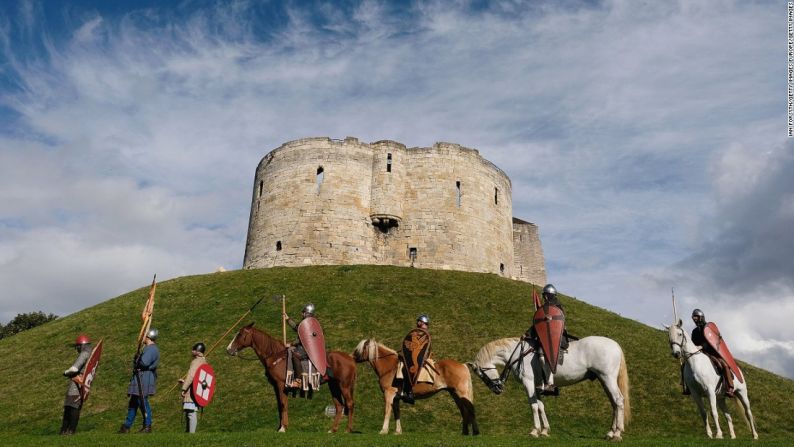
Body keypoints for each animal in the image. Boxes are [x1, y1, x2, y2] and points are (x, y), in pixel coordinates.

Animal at [226, 324, 356, 432]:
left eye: (240, 334)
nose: (228, 349)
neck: (275, 356)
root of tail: (350, 359)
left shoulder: (280, 385)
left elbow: (283, 404)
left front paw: (283, 428)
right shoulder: (276, 387)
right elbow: (281, 405)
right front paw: (282, 426)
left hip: (344, 385)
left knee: (349, 404)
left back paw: (348, 429)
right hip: (333, 385)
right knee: (339, 406)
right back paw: (332, 430)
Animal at [468, 338, 628, 440]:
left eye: (480, 374)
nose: (497, 389)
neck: (519, 354)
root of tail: (615, 345)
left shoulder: (529, 383)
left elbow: (533, 406)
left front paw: (535, 430)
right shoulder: (537, 387)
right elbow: (540, 406)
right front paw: (544, 431)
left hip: (607, 378)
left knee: (619, 401)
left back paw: (618, 433)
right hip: (604, 380)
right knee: (614, 404)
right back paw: (611, 432)